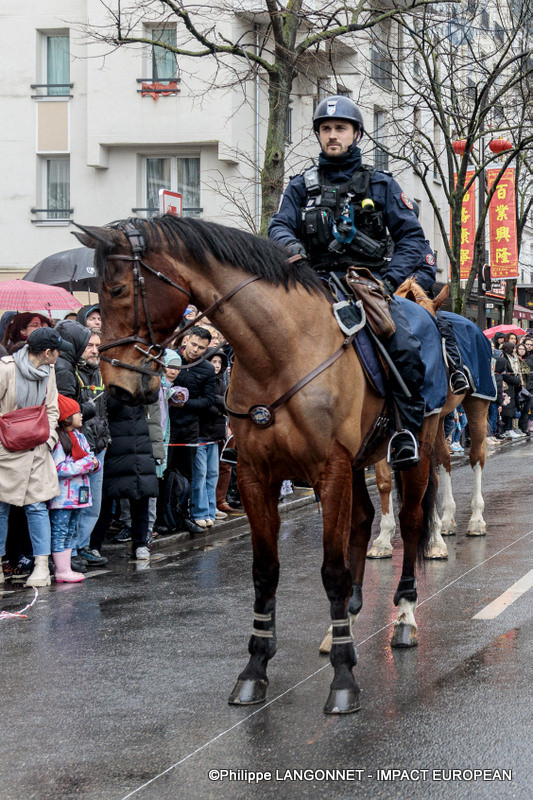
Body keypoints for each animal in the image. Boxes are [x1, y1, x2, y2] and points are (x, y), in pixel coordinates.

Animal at [76, 217, 440, 712]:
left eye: (116, 289)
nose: (117, 387)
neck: (280, 352)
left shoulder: (330, 470)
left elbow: (333, 572)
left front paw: (343, 678)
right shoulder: (255, 476)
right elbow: (265, 572)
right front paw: (255, 668)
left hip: (414, 449)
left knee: (411, 519)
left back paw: (403, 617)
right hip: (359, 459)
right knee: (364, 519)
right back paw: (342, 625)